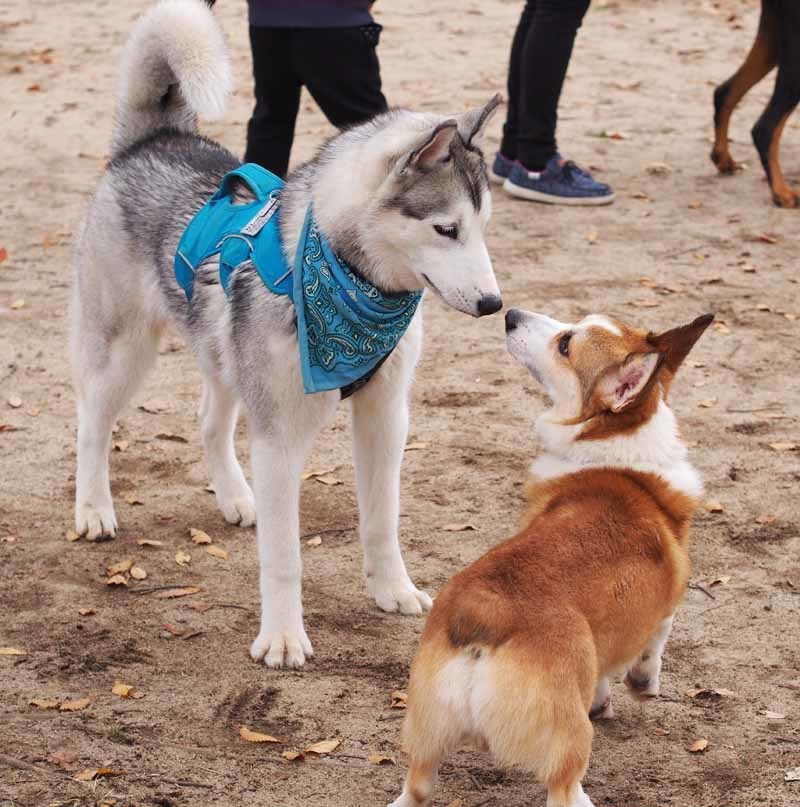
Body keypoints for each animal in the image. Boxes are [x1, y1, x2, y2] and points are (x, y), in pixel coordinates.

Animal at [72, 0, 504, 668]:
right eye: (445, 229)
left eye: (481, 227)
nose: (493, 303)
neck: (349, 283)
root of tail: (155, 139)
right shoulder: (280, 435)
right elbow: (284, 556)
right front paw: (281, 636)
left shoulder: (386, 417)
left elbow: (382, 520)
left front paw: (393, 589)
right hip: (124, 349)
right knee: (91, 420)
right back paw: (93, 508)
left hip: (222, 353)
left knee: (209, 421)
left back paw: (235, 496)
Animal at [388, 310, 712, 807]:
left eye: (565, 344)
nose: (510, 313)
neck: (617, 440)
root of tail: (486, 613)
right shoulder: (664, 607)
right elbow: (652, 646)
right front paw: (639, 685)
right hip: (567, 744)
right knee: (564, 786)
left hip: (426, 737)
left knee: (416, 788)